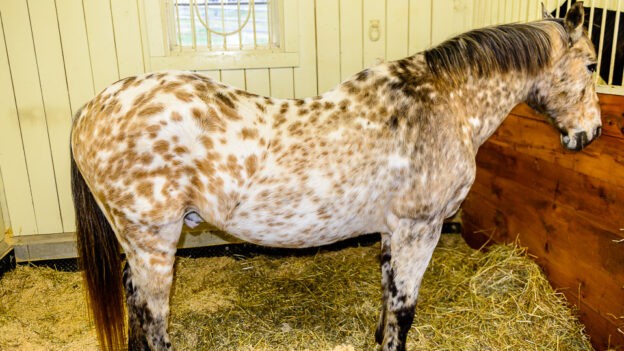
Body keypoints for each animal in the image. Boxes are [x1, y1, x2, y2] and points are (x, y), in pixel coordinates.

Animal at [72, 3, 600, 351]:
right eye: (593, 65)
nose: (590, 133)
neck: (442, 103)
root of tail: (92, 108)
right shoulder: (420, 230)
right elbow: (404, 310)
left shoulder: (394, 232)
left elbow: (388, 299)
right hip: (154, 245)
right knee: (152, 320)